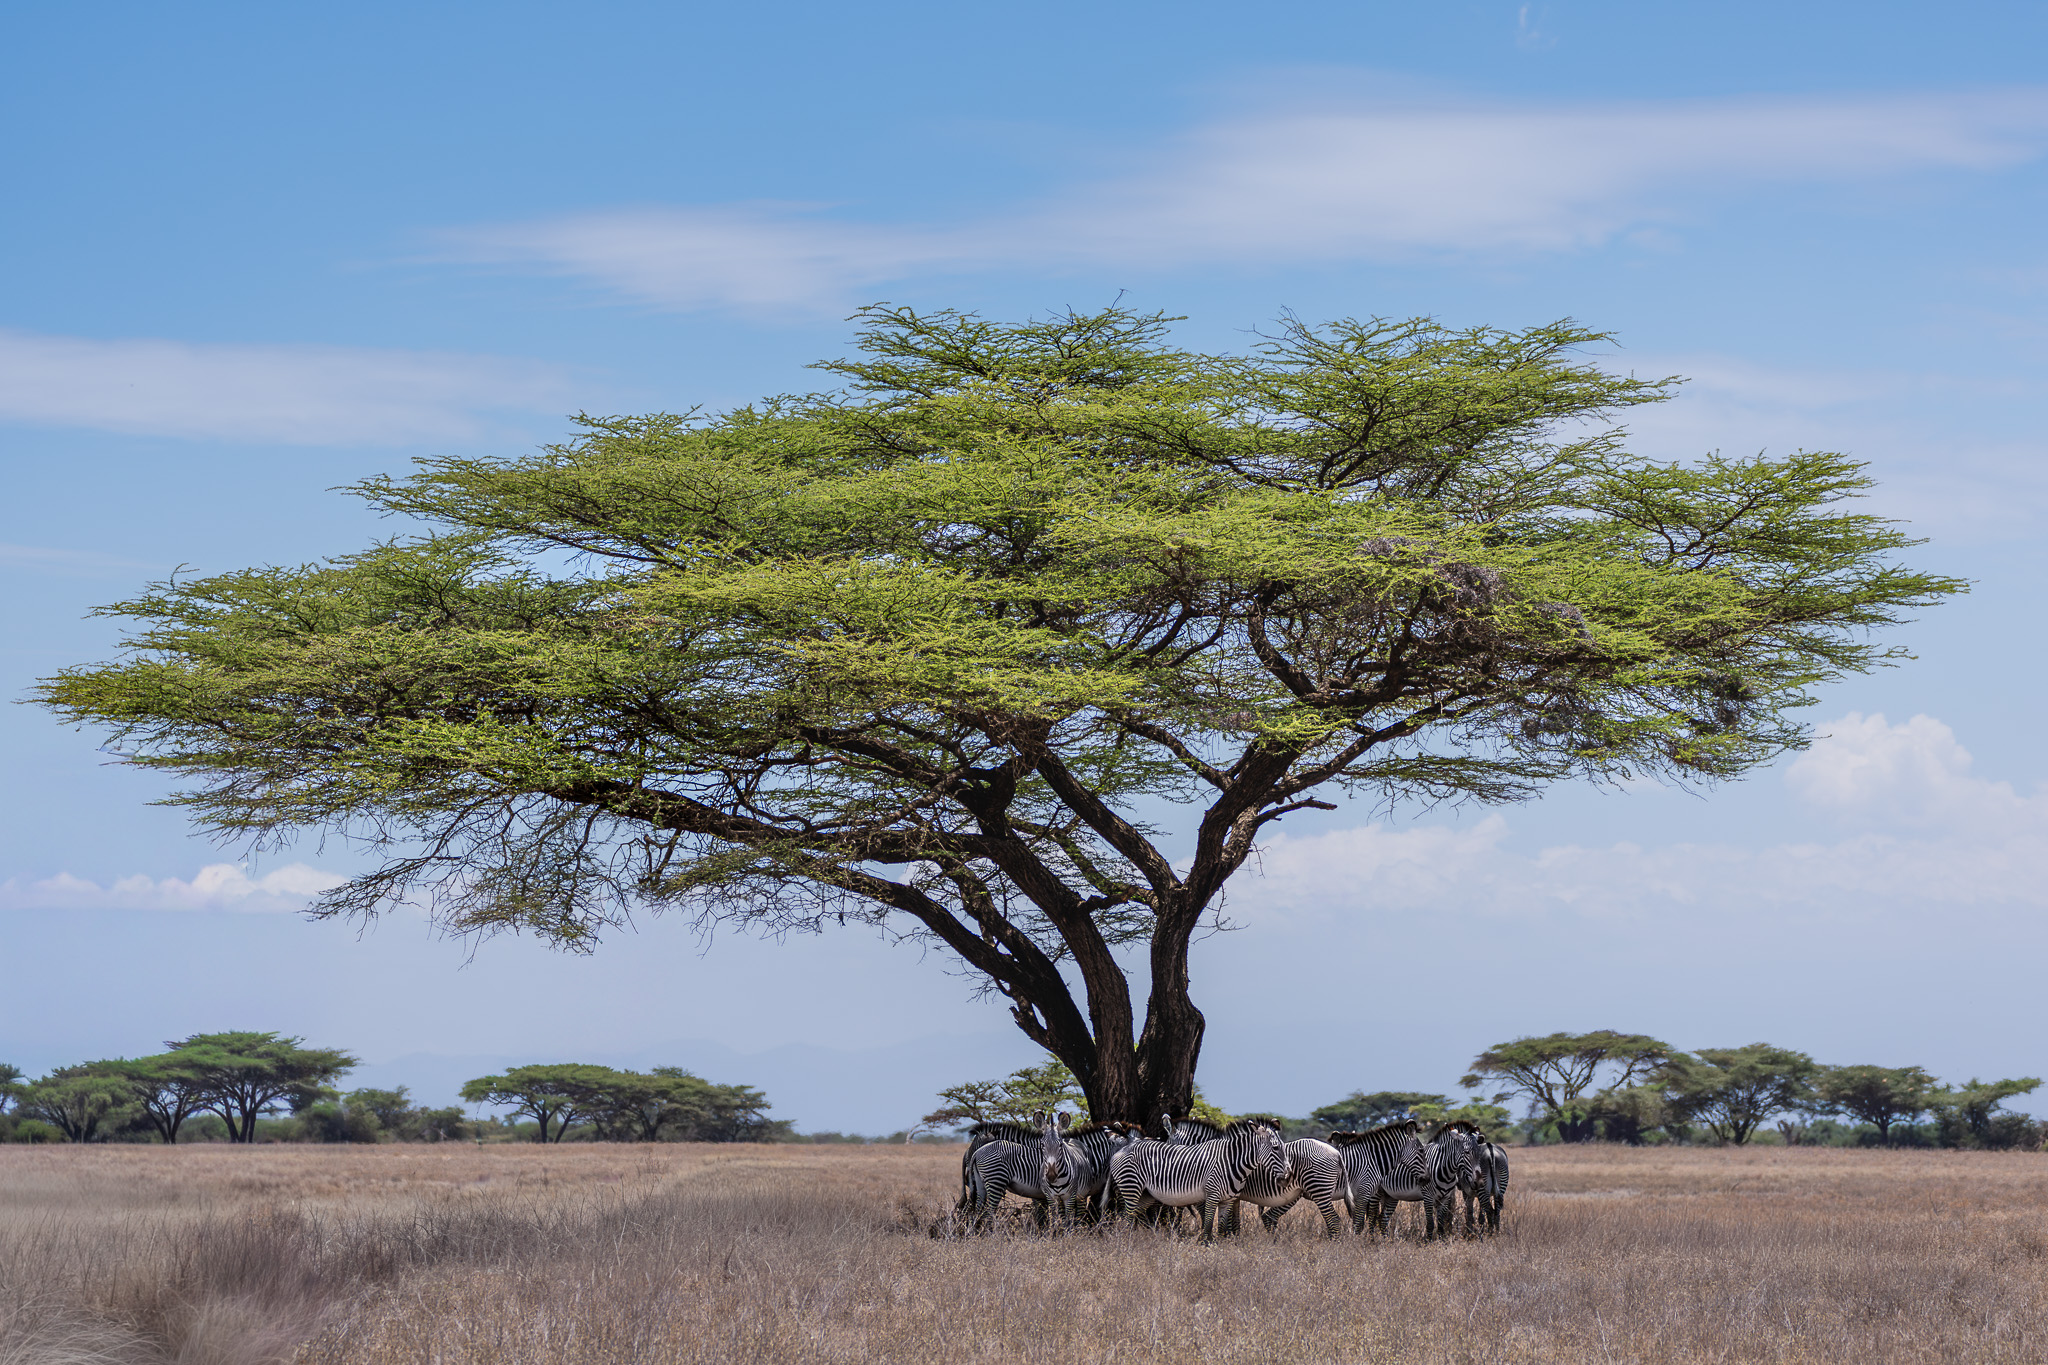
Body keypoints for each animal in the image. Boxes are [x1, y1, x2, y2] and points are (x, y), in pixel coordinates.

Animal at [1108, 1117, 1289, 1242]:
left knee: (1129, 1216)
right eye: (1276, 1148)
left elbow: (1221, 1228)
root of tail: (1122, 1150)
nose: (1288, 1174)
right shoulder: (1210, 1196)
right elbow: (1208, 1226)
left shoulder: (1228, 1199)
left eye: (1282, 1146)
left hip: (1145, 1195)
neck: (1231, 1160)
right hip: (1131, 1187)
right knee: (1127, 1217)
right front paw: (1205, 1246)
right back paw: (1126, 1242)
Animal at [1167, 1116, 1347, 1238]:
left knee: (1333, 1221)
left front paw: (1227, 1238)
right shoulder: (1234, 1196)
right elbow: (1234, 1221)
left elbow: (1225, 1220)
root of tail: (1336, 1152)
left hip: (1319, 1188)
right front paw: (1234, 1238)